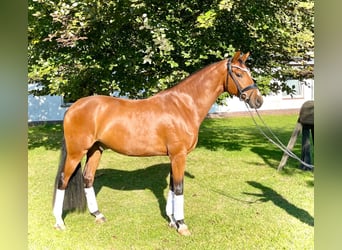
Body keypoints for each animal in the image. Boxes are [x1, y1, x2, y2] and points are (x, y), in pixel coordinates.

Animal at [52, 50, 264, 234]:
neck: (184, 106)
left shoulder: (174, 156)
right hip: (76, 152)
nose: (258, 101)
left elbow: (171, 187)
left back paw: (98, 215)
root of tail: (74, 107)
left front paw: (172, 221)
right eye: (238, 73)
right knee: (63, 180)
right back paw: (59, 222)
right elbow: (179, 188)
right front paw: (182, 225)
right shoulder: (179, 156)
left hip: (96, 150)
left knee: (88, 178)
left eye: (249, 72)